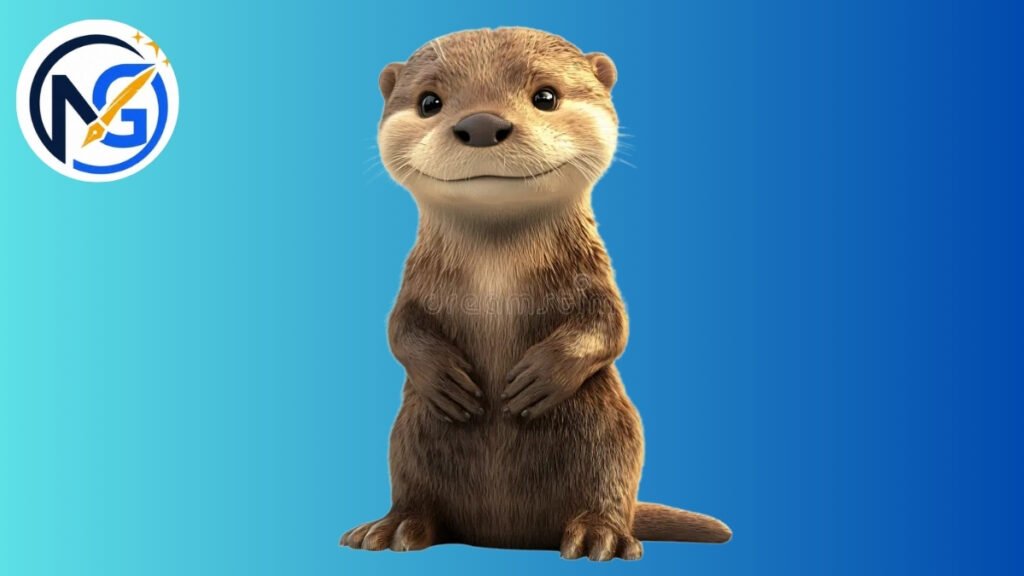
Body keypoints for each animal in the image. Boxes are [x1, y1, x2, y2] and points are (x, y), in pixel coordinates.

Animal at [340, 27, 731, 561]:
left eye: (546, 96)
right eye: (429, 101)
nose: (482, 123)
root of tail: (508, 535)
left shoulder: (594, 279)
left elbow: (611, 325)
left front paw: (539, 377)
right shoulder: (414, 285)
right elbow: (400, 327)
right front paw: (444, 376)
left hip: (611, 436)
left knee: (607, 487)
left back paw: (599, 536)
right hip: (410, 438)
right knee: (417, 492)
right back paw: (393, 527)